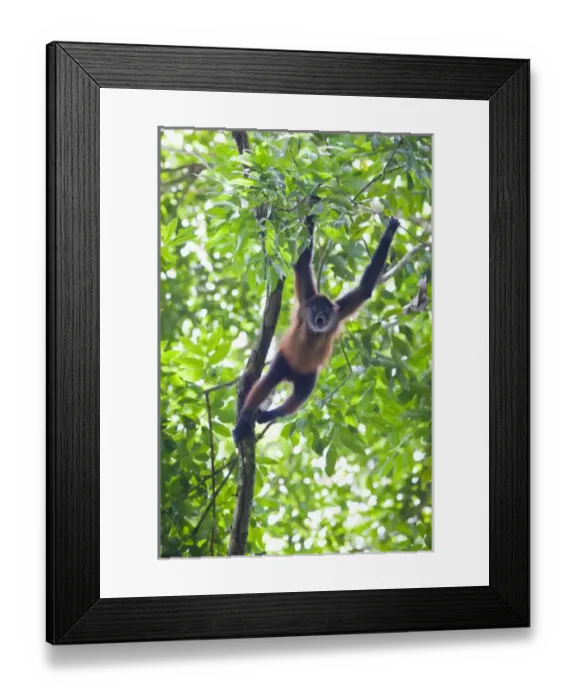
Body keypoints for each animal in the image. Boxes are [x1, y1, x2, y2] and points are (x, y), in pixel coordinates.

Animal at [232, 200, 400, 443]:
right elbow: (302, 262)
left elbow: (364, 290)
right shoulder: (306, 302)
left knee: (301, 395)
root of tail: (293, 373)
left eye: (326, 312)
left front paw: (389, 233)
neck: (314, 331)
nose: (321, 317)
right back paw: (244, 419)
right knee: (267, 381)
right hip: (285, 362)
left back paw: (271, 414)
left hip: (306, 375)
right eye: (315, 310)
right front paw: (313, 202)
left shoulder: (337, 315)